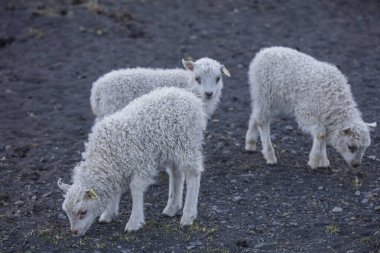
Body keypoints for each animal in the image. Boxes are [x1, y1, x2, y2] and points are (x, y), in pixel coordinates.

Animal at [58, 87, 208, 237]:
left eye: (82, 212)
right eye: (67, 213)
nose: (74, 232)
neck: (103, 156)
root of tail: (188, 95)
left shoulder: (141, 164)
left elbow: (135, 189)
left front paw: (134, 222)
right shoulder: (116, 171)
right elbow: (115, 189)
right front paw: (109, 214)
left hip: (186, 142)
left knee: (193, 174)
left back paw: (188, 215)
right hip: (171, 149)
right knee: (176, 174)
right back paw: (172, 208)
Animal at [245, 47, 376, 170]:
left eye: (364, 148)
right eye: (351, 147)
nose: (356, 165)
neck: (335, 101)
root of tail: (264, 52)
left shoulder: (324, 117)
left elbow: (323, 135)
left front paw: (323, 161)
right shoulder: (306, 112)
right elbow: (321, 133)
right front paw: (314, 161)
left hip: (267, 99)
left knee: (255, 114)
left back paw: (250, 144)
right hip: (265, 94)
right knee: (262, 120)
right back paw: (270, 156)